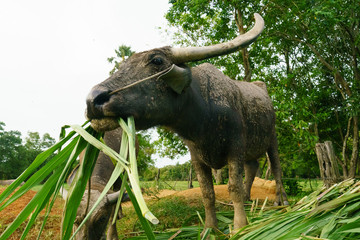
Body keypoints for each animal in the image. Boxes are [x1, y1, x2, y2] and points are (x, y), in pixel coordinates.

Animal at [86, 13, 288, 231]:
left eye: (157, 60)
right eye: (121, 67)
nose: (93, 100)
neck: (205, 116)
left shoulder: (236, 147)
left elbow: (233, 186)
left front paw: (240, 226)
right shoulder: (196, 156)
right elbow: (207, 193)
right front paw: (210, 228)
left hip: (272, 139)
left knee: (276, 167)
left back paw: (281, 200)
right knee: (252, 167)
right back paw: (248, 197)